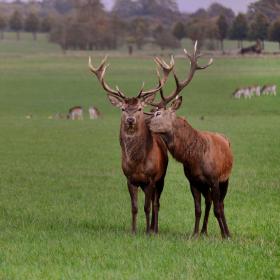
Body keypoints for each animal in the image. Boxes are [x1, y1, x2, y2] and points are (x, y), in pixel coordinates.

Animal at [88, 54, 174, 234]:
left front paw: (147, 232)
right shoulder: (129, 179)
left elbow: (147, 207)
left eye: (140, 108)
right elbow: (134, 207)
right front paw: (133, 231)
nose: (130, 120)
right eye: (123, 109)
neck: (137, 162)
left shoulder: (150, 179)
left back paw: (155, 229)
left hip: (161, 179)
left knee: (156, 203)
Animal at [149, 41, 234, 238]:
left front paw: (225, 235)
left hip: (226, 179)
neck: (195, 158)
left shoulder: (215, 179)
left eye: (158, 113)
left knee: (221, 203)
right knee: (209, 202)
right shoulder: (193, 181)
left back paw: (225, 231)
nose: (145, 123)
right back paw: (203, 231)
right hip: (204, 186)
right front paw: (194, 234)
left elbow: (219, 208)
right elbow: (197, 209)